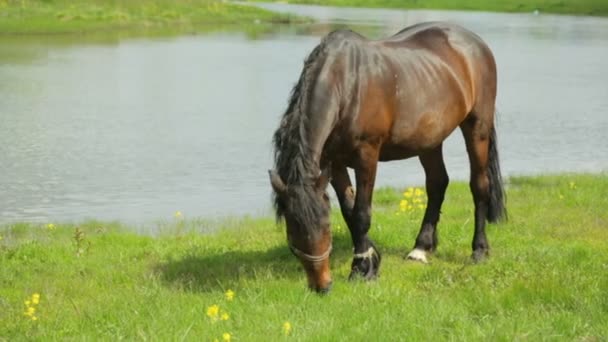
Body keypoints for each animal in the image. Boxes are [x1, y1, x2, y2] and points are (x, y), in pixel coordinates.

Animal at [268, 22, 506, 294]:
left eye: (326, 226)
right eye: (291, 230)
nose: (322, 285)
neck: (345, 84)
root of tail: (476, 42)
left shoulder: (367, 155)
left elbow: (361, 213)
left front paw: (362, 269)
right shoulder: (334, 162)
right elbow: (349, 211)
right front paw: (372, 257)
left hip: (477, 128)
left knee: (479, 186)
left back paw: (479, 250)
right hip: (429, 140)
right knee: (437, 184)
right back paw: (421, 248)